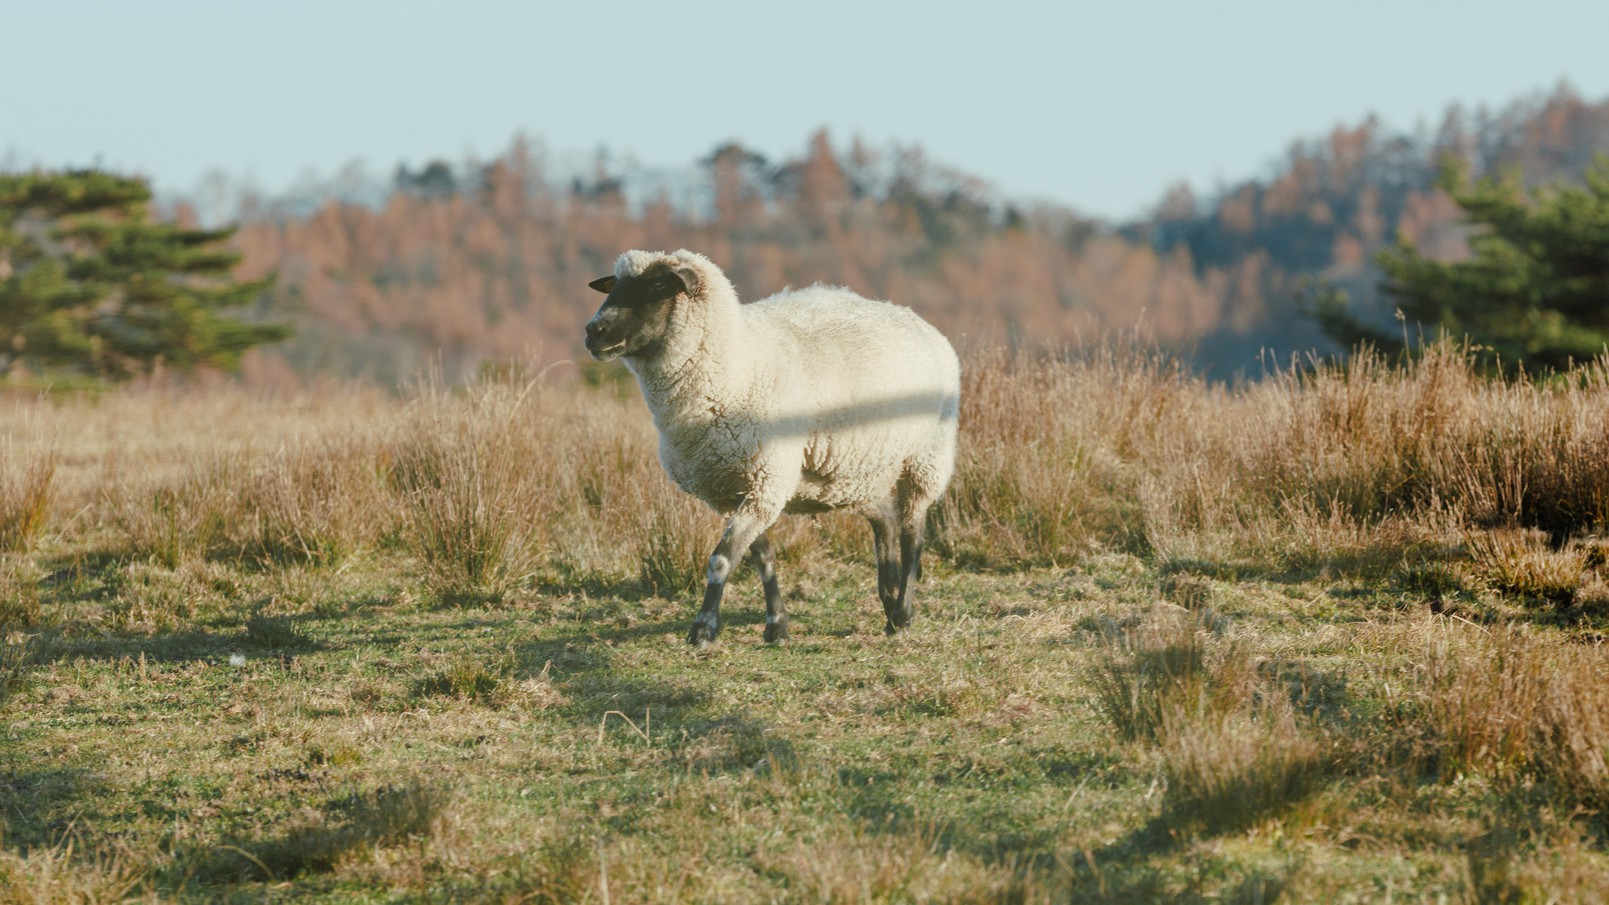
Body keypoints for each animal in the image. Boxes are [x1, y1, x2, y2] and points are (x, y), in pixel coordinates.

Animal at [588, 246, 952, 640]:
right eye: (614, 285)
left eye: (657, 285)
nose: (593, 331)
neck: (735, 367)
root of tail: (915, 318)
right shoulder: (728, 492)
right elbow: (761, 556)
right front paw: (776, 625)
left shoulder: (765, 482)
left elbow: (722, 558)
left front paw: (703, 629)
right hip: (857, 472)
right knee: (884, 521)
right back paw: (888, 605)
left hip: (926, 459)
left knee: (913, 534)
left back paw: (903, 613)